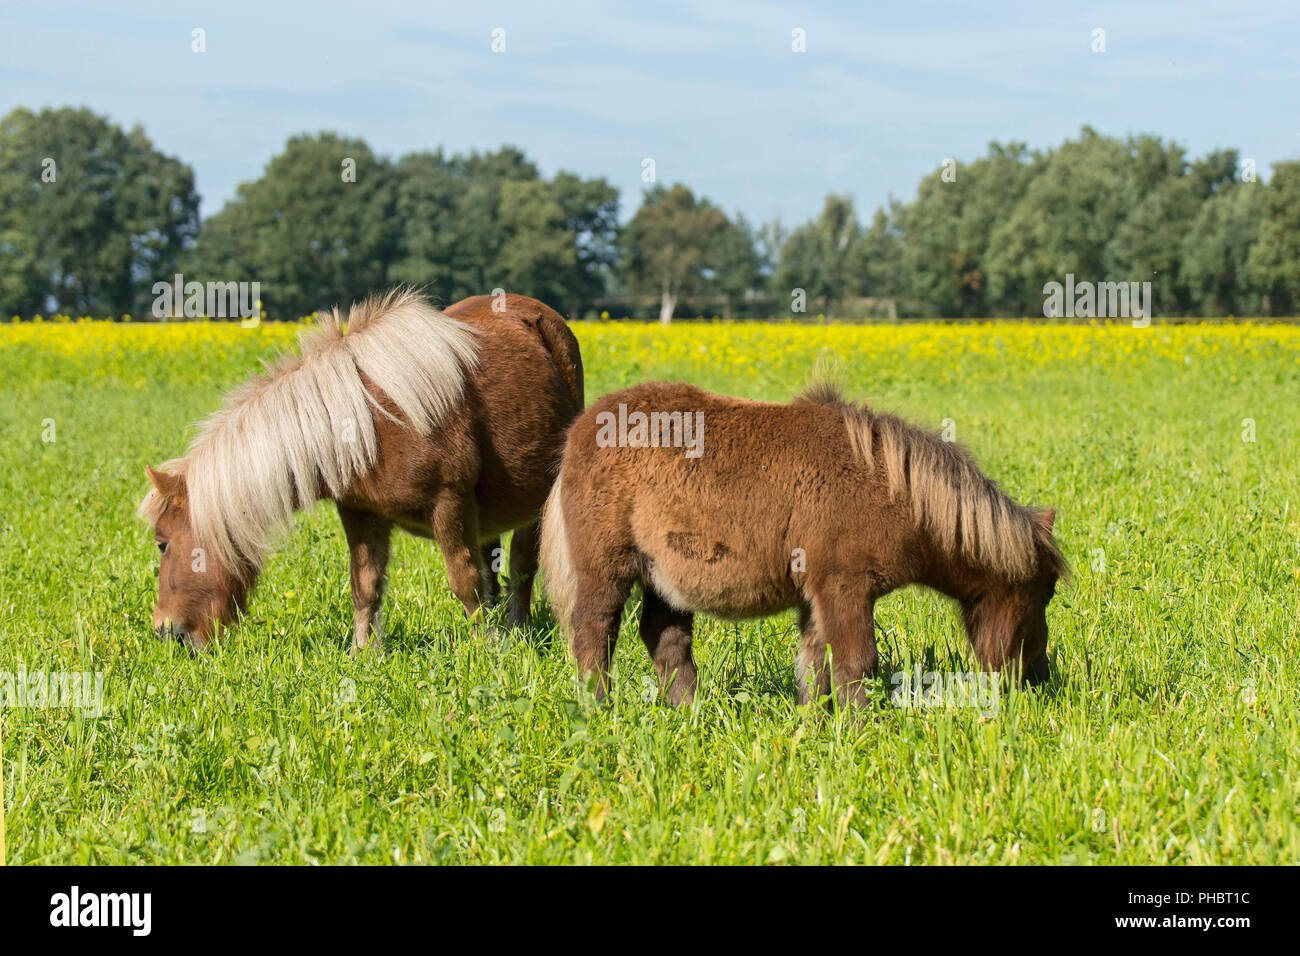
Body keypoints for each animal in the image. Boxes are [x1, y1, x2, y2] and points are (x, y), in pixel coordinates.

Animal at [142, 290, 585, 650]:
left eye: (162, 544)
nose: (166, 632)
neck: (368, 421)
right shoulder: (359, 512)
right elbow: (365, 584)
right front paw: (365, 653)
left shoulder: (450, 504)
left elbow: (466, 582)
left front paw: (486, 648)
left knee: (521, 563)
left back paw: (516, 628)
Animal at [538, 382, 1066, 712]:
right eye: (1048, 591)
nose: (1040, 679)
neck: (891, 488)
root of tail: (579, 432)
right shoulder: (844, 587)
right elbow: (855, 662)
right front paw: (861, 730)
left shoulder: (819, 596)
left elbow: (816, 664)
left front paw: (813, 726)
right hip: (607, 569)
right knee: (593, 634)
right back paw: (601, 710)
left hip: (664, 578)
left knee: (664, 638)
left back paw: (692, 712)